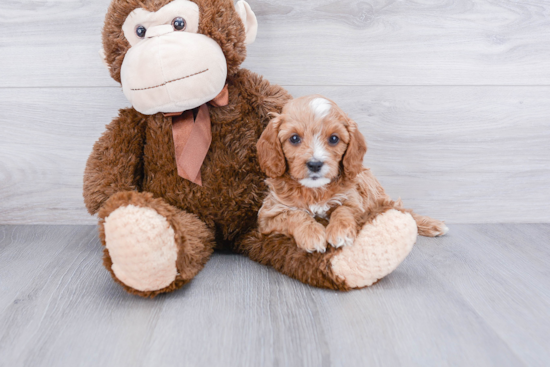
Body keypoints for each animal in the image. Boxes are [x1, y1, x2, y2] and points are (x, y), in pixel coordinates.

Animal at [258, 95, 448, 253]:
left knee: (400, 208)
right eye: (294, 138)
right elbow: (295, 215)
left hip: (377, 196)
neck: (315, 190)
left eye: (334, 139)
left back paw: (433, 225)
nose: (315, 164)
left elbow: (343, 209)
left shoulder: (356, 202)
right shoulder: (269, 215)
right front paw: (311, 234)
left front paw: (340, 232)